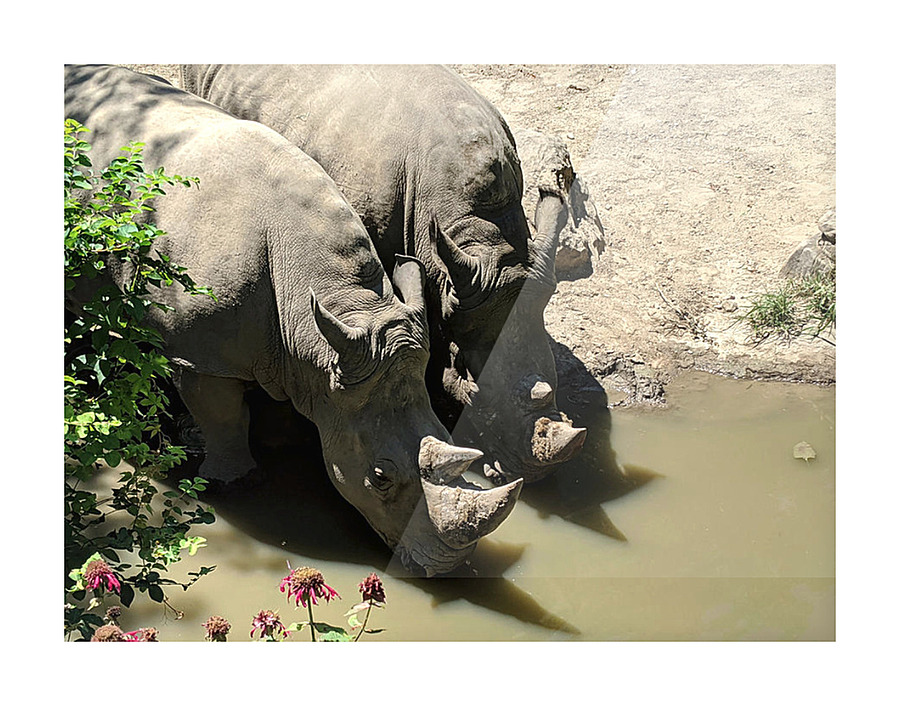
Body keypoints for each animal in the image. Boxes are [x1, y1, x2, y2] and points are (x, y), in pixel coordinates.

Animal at [64, 64, 523, 577]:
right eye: (380, 477)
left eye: (449, 436)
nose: (445, 569)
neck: (338, 302)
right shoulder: (200, 353)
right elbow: (223, 416)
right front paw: (235, 483)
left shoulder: (312, 354)